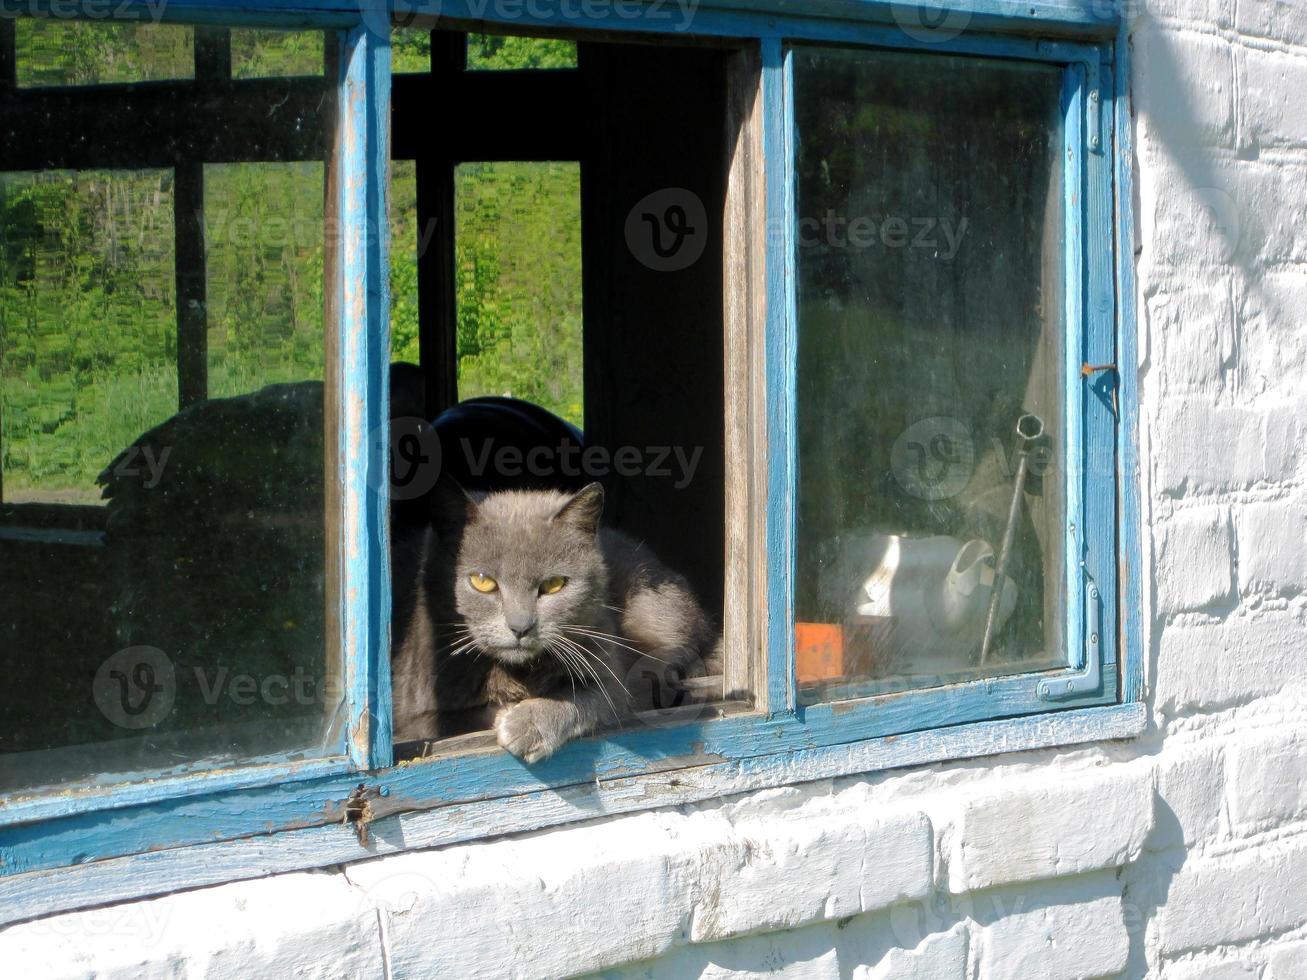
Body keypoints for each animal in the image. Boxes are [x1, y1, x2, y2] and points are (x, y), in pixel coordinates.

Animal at [392, 480, 721, 763]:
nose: (520, 627)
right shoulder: (415, 714)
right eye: (482, 581)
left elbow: (593, 697)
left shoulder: (606, 662)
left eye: (553, 585)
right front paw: (507, 713)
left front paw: (528, 723)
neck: (520, 672)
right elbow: (457, 720)